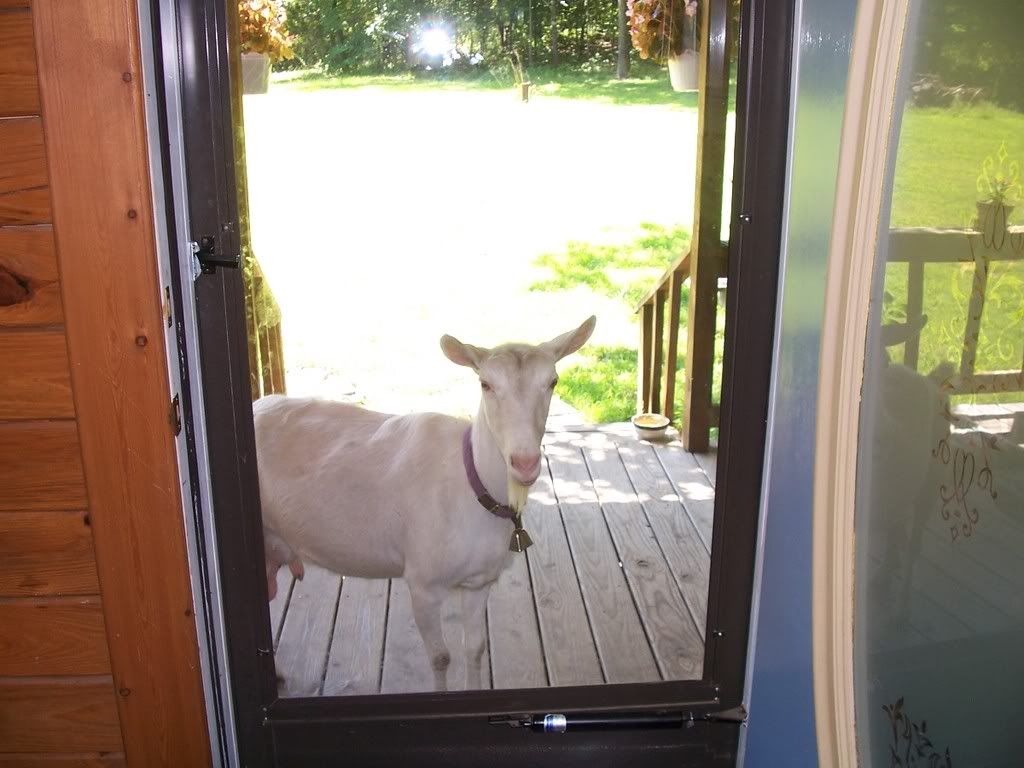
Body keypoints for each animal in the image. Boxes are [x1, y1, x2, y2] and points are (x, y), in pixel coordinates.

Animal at [254, 316, 597, 691]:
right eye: (485, 384)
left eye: (553, 381)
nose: (524, 462)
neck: (472, 486)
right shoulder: (422, 581)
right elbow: (441, 657)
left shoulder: (479, 581)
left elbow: (475, 648)